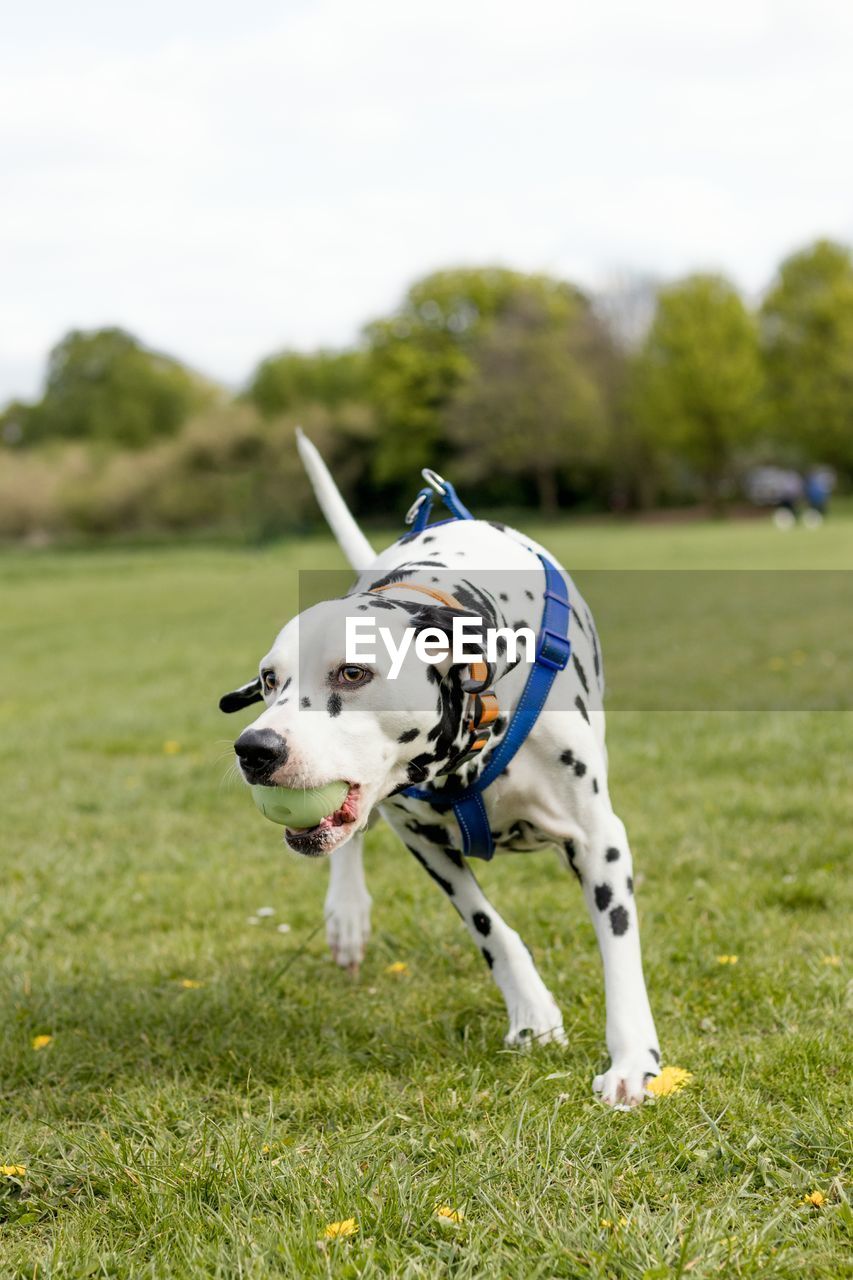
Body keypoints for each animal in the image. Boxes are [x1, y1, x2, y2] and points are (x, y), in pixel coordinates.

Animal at [219, 435, 655, 1105]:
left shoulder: (599, 841)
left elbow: (620, 950)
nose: (255, 749)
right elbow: (489, 927)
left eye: (353, 672)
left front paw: (632, 1059)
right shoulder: (422, 838)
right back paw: (347, 915)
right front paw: (532, 1011)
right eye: (270, 680)